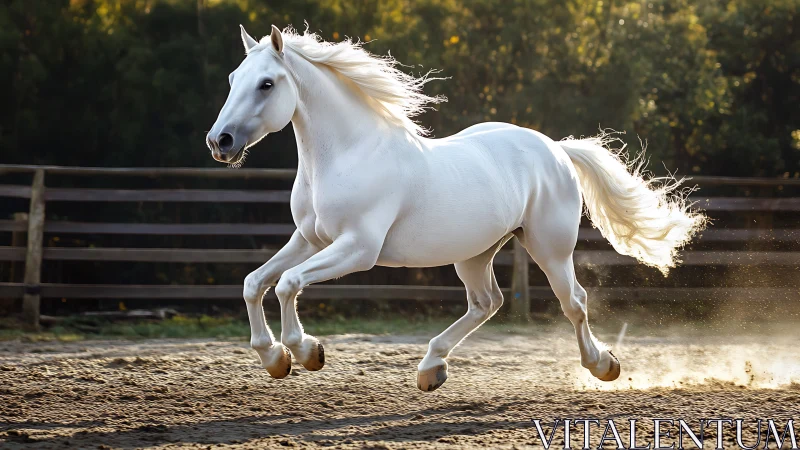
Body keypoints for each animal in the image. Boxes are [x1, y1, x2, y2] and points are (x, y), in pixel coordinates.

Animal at [205, 25, 706, 391]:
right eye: (231, 80)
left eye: (267, 83)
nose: (220, 141)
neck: (349, 153)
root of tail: (556, 149)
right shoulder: (309, 240)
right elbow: (254, 283)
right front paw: (275, 359)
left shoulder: (358, 249)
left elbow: (288, 284)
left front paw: (306, 352)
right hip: (474, 253)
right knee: (487, 303)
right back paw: (431, 368)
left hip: (550, 249)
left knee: (574, 303)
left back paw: (603, 365)